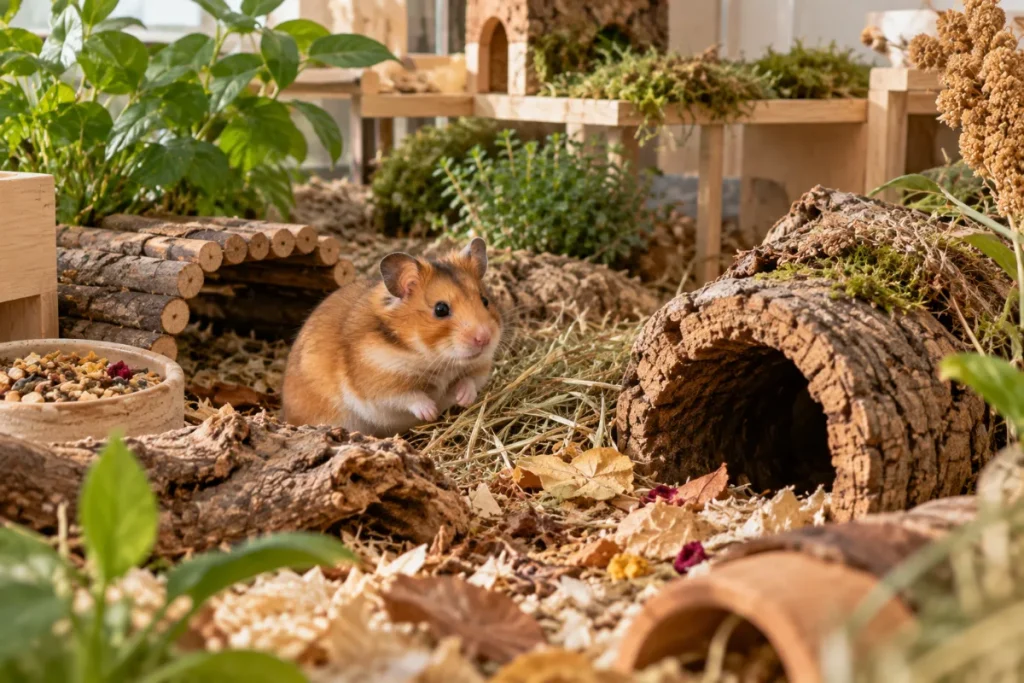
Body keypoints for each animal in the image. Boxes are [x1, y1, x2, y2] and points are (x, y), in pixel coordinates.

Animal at [281, 238, 502, 437]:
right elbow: (410, 396)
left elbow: (470, 380)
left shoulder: (479, 368)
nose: (484, 338)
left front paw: (464, 398)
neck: (431, 356)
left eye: (485, 300)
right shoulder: (380, 386)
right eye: (441, 309)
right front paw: (430, 412)